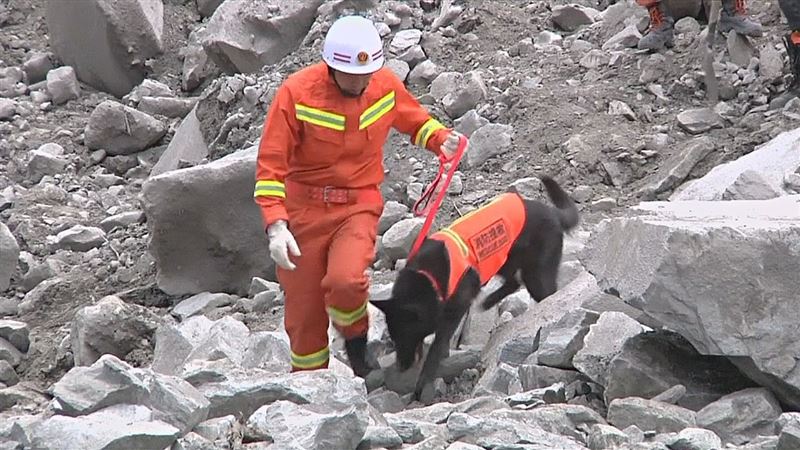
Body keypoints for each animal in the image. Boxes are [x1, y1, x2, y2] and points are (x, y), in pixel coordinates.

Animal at [366, 178, 580, 400]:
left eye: (406, 334)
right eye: (393, 337)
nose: (401, 367)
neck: (427, 277)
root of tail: (553, 213)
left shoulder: (455, 309)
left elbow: (436, 347)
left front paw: (422, 384)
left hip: (536, 275)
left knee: (544, 291)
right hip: (502, 262)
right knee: (513, 282)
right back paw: (488, 301)